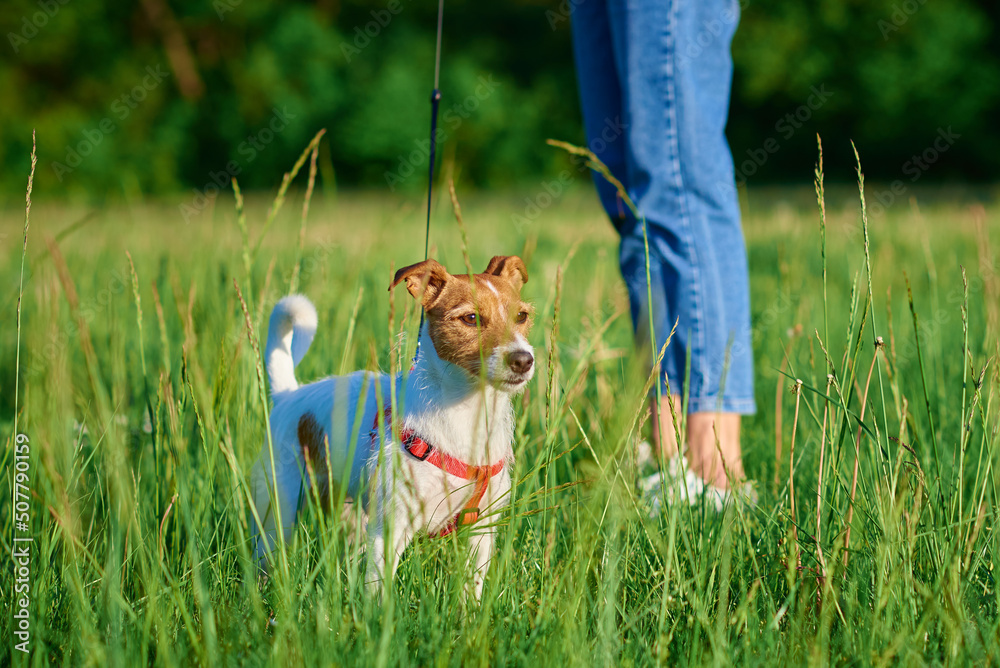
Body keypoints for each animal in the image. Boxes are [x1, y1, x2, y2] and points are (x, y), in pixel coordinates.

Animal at [252, 254, 532, 596]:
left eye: (521, 316)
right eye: (470, 319)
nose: (524, 360)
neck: (467, 417)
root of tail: (289, 395)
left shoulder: (481, 531)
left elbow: (472, 589)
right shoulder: (390, 530)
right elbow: (378, 592)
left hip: (352, 515)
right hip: (277, 512)